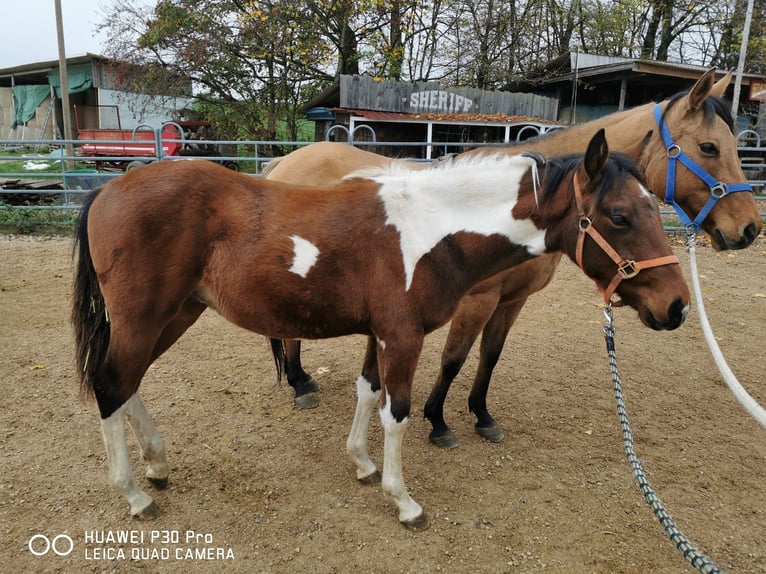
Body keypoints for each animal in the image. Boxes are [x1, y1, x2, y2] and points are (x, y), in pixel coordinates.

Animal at [73, 129, 689, 529]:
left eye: (653, 208)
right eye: (619, 217)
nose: (678, 306)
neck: (432, 230)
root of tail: (106, 190)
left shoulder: (381, 334)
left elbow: (368, 392)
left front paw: (363, 465)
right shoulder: (404, 335)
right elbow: (398, 412)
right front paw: (404, 500)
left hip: (177, 313)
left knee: (126, 382)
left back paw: (156, 466)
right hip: (147, 316)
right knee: (110, 384)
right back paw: (134, 494)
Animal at [263, 69, 762, 447]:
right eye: (709, 147)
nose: (749, 228)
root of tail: (284, 163)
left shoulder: (513, 299)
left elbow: (490, 355)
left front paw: (481, 415)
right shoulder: (476, 300)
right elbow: (454, 358)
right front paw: (438, 421)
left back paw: (301, 378)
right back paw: (300, 383)